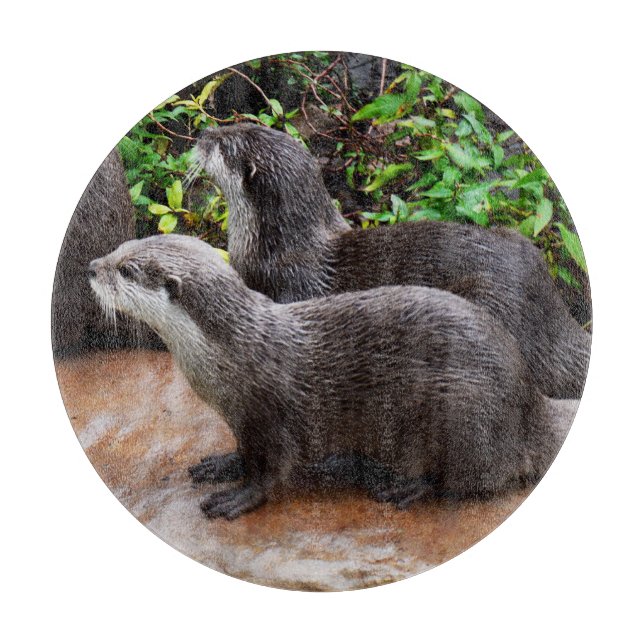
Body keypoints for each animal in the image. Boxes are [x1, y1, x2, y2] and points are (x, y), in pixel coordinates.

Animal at [89, 234, 578, 520]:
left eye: (127, 269)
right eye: (122, 247)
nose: (92, 266)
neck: (233, 355)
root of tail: (529, 402)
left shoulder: (272, 415)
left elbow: (271, 470)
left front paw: (238, 498)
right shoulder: (241, 420)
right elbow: (243, 453)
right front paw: (220, 464)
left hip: (464, 412)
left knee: (471, 481)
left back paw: (403, 488)